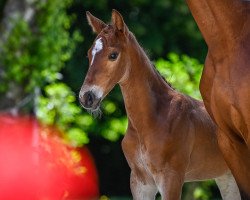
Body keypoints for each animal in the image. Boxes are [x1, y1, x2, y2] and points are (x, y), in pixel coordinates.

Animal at [80, 10, 240, 200]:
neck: (150, 122)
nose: (86, 97)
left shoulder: (171, 178)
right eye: (89, 54)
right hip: (227, 178)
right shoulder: (141, 182)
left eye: (113, 55)